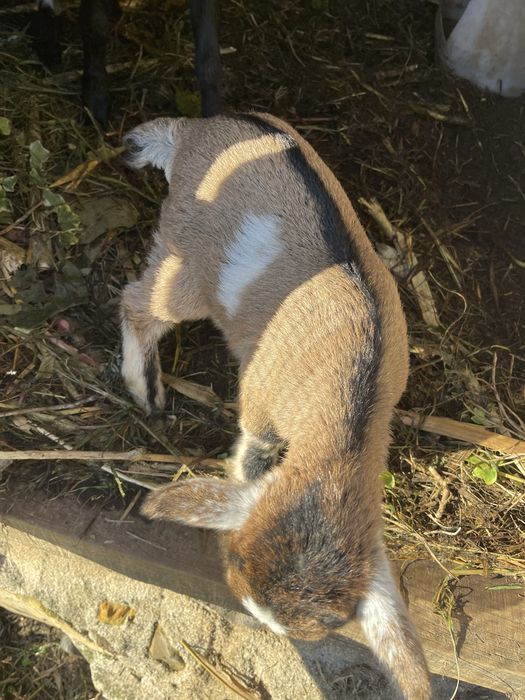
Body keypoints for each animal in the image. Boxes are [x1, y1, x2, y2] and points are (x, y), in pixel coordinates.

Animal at [120, 113, 432, 700]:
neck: (350, 421)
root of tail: (191, 133)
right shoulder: (260, 412)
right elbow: (248, 455)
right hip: (184, 260)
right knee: (138, 303)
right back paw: (143, 388)